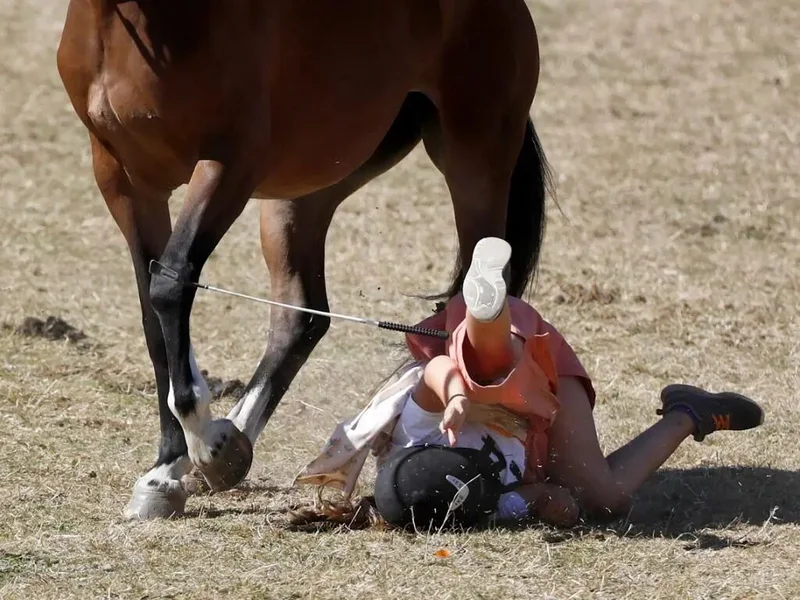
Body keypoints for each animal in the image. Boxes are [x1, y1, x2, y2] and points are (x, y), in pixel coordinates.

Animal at [56, 0, 552, 519]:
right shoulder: (123, 179)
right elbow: (154, 320)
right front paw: (168, 470)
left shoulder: (228, 166)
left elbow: (171, 285)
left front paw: (205, 446)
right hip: (303, 192)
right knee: (301, 316)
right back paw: (236, 441)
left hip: (475, 165)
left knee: (480, 303)